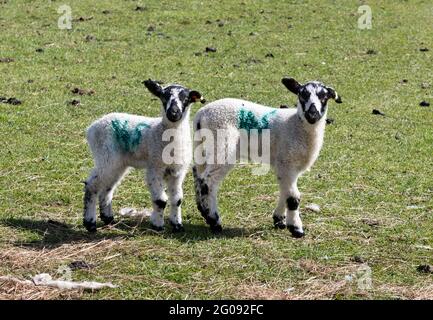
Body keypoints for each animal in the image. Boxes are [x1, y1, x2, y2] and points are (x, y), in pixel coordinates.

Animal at [82, 79, 204, 231]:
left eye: (186, 98)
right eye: (163, 96)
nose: (173, 113)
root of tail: (92, 127)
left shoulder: (177, 172)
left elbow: (177, 199)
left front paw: (177, 225)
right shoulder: (155, 167)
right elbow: (160, 200)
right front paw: (157, 225)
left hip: (118, 163)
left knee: (107, 188)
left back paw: (108, 218)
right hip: (106, 155)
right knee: (92, 185)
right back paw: (90, 223)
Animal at [192, 77, 340, 238]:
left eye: (324, 97)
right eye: (302, 95)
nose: (312, 115)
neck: (295, 125)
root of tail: (200, 115)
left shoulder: (284, 166)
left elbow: (284, 191)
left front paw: (279, 220)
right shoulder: (287, 163)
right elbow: (293, 197)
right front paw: (296, 228)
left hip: (204, 147)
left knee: (198, 175)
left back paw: (203, 210)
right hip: (223, 145)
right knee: (209, 182)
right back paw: (214, 220)